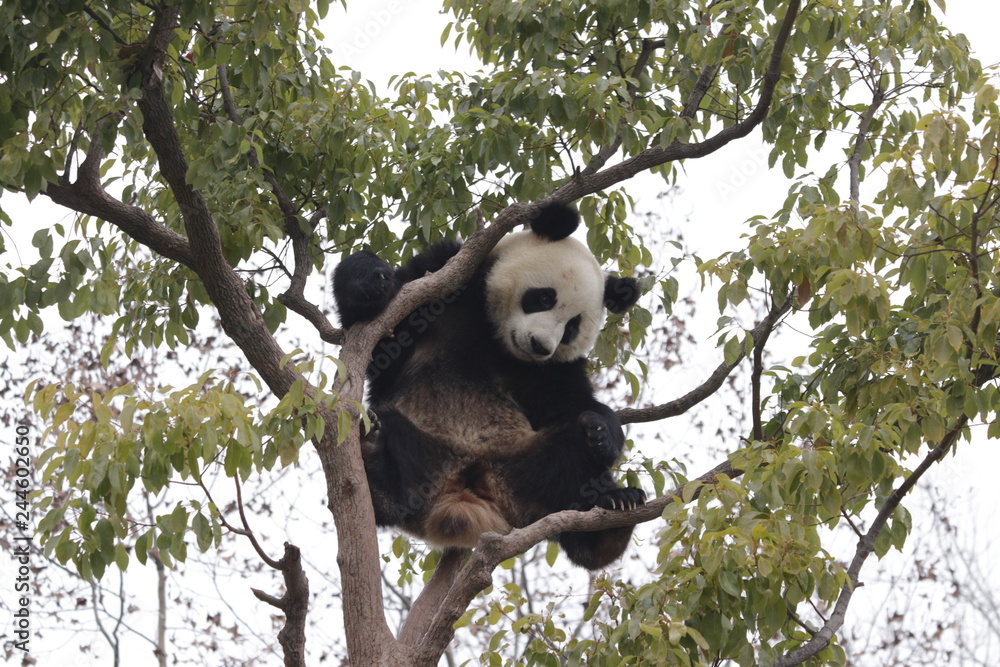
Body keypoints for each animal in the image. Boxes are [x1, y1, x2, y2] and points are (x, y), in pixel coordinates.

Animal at [333, 202, 645, 570]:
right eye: (543, 298)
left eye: (572, 328)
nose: (540, 345)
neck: (497, 338)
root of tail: (466, 488)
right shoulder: (445, 277)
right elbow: (377, 338)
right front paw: (372, 281)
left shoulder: (550, 369)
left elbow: (570, 402)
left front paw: (602, 431)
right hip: (427, 443)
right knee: (396, 451)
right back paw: (375, 460)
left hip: (524, 464)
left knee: (572, 464)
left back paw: (613, 515)